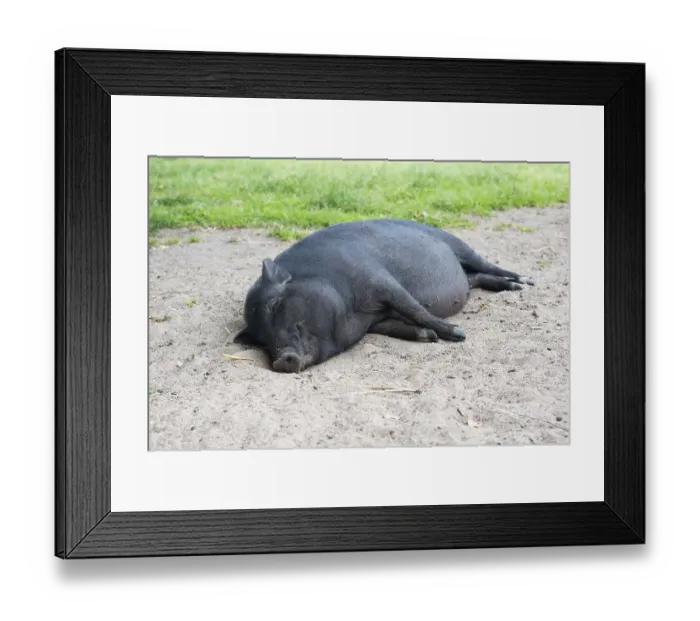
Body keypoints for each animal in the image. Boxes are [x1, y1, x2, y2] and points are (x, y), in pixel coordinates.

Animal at [234, 219, 534, 373]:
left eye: (275, 304)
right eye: (260, 339)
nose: (279, 360)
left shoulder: (380, 280)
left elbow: (415, 308)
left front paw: (458, 334)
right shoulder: (376, 319)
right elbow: (395, 327)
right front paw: (428, 337)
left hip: (458, 244)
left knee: (488, 266)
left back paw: (524, 282)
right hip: (465, 278)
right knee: (479, 278)